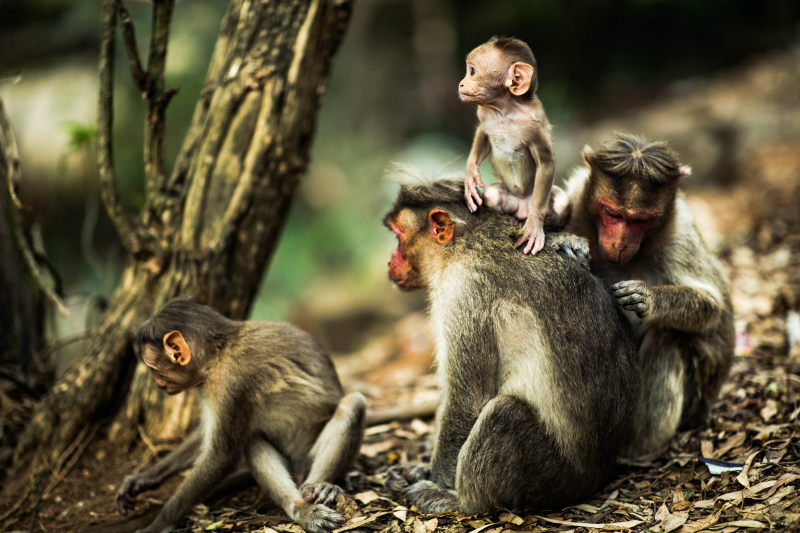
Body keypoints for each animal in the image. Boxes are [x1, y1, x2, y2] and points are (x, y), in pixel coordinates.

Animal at [115, 300, 366, 532]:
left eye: (154, 368)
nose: (157, 383)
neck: (218, 352)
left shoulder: (229, 383)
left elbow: (220, 457)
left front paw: (158, 524)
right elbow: (206, 437)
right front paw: (144, 478)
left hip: (307, 457)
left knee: (352, 404)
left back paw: (314, 494)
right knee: (253, 441)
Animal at [380, 172, 636, 512]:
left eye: (398, 237)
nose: (389, 263)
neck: (466, 245)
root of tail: (598, 473)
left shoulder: (465, 292)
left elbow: (467, 399)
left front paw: (437, 480)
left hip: (554, 477)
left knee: (504, 412)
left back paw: (462, 502)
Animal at [456, 36, 568, 255]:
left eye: (472, 71)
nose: (461, 83)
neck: (504, 111)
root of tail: (522, 207)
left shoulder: (533, 125)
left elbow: (547, 162)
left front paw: (534, 226)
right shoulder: (484, 114)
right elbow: (482, 133)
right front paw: (470, 177)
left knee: (561, 202)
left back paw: (545, 223)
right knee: (492, 195)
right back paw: (514, 220)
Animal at [564, 132, 736, 454]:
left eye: (640, 221)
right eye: (612, 214)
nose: (620, 243)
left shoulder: (680, 234)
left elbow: (711, 307)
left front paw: (647, 298)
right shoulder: (574, 197)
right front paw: (568, 242)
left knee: (667, 337)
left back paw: (639, 449)